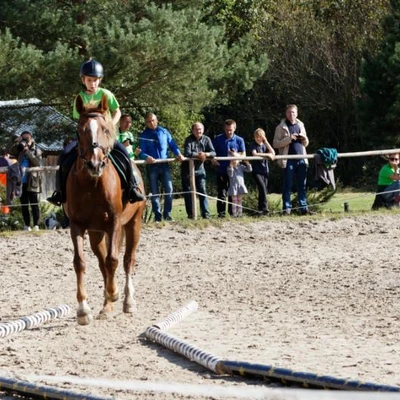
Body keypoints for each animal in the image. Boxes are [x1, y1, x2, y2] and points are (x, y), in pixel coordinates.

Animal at [65, 94, 146, 324]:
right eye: (80, 131)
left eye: (106, 130)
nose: (95, 164)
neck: (92, 184)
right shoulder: (77, 225)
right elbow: (80, 263)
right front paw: (83, 310)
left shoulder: (115, 222)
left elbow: (113, 260)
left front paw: (113, 293)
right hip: (96, 233)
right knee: (102, 263)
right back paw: (106, 306)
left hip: (133, 224)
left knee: (127, 260)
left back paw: (127, 301)